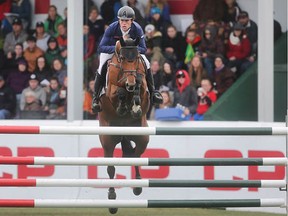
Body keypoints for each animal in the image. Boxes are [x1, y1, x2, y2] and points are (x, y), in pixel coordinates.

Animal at [98, 36, 150, 213]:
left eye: (136, 59)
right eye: (121, 58)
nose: (130, 83)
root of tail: (123, 134)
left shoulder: (142, 88)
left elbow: (140, 87)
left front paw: (135, 107)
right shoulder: (111, 91)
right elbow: (118, 92)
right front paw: (123, 106)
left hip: (143, 137)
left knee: (136, 157)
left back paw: (138, 186)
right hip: (108, 140)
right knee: (110, 168)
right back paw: (112, 199)